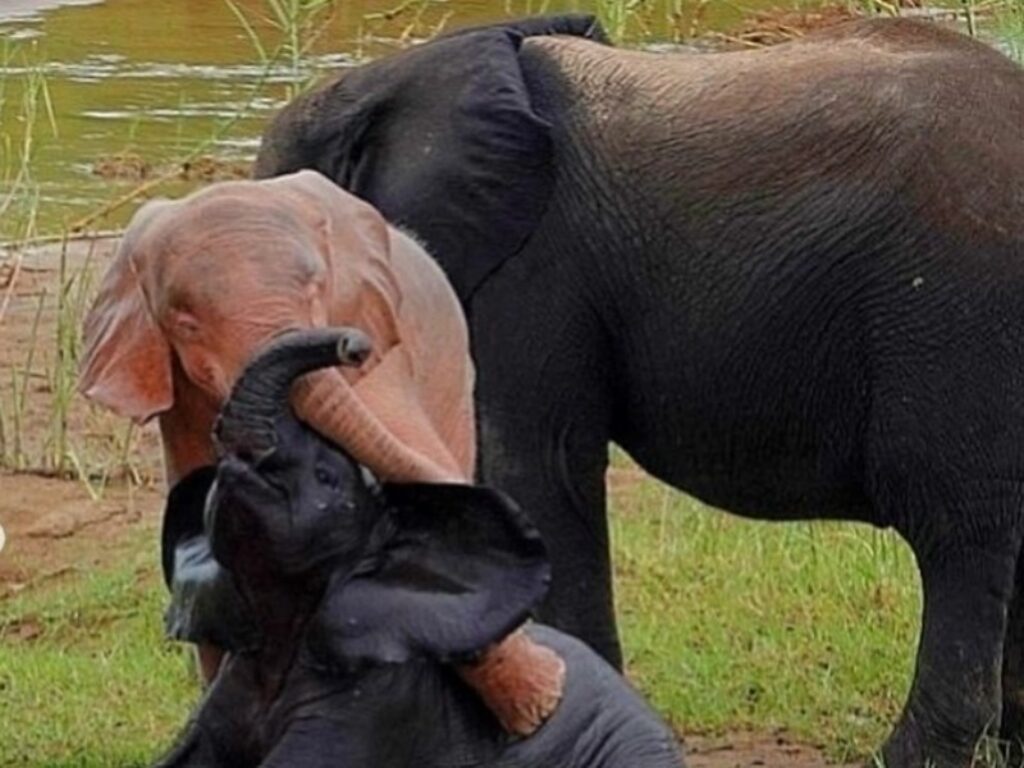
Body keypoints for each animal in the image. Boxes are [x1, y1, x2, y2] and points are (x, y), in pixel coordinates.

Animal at [78, 171, 563, 734]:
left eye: (316, 289)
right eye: (185, 323)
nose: (351, 345)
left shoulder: (382, 366)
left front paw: (538, 703)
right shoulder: (181, 408)